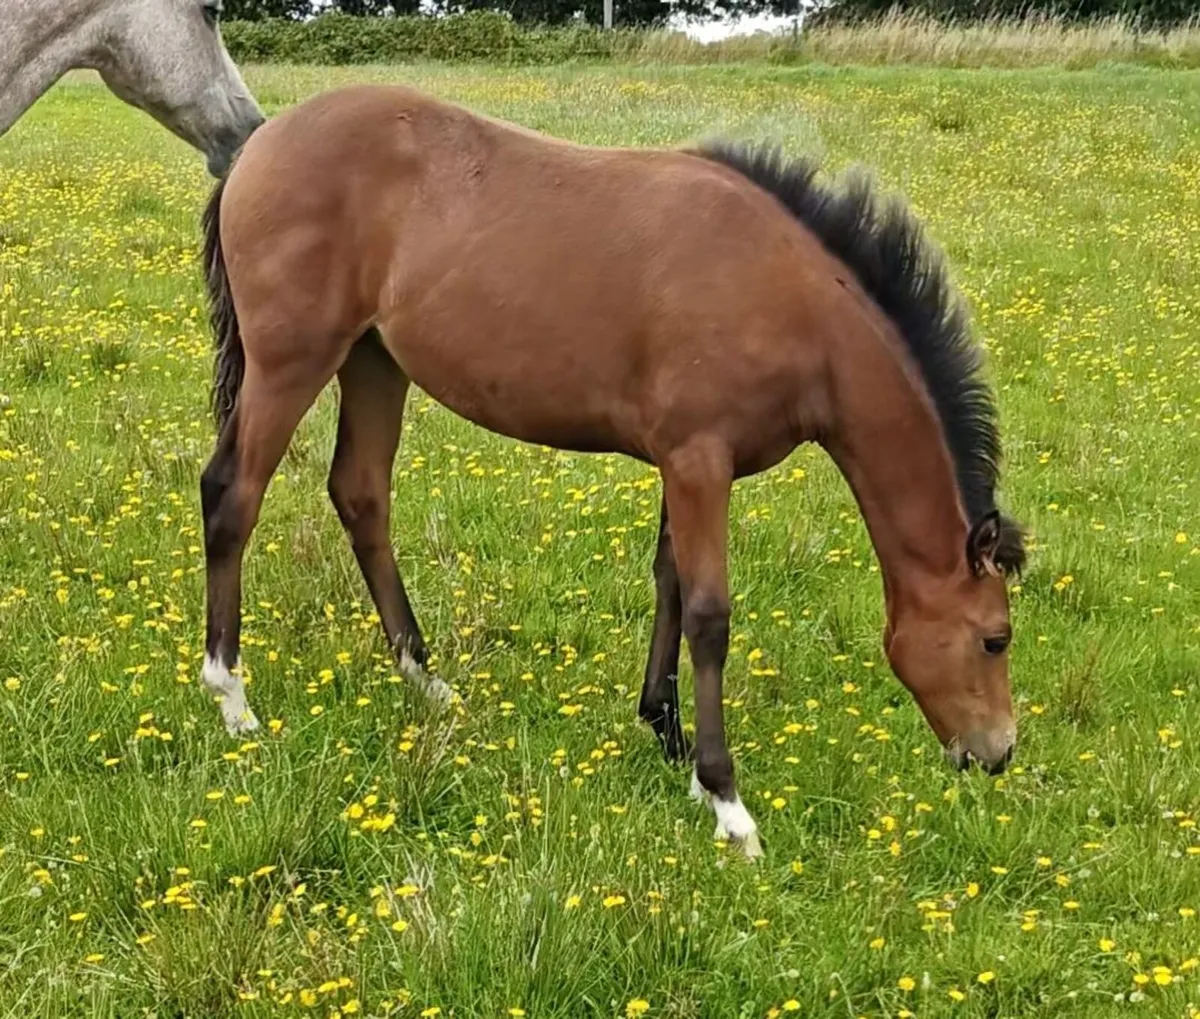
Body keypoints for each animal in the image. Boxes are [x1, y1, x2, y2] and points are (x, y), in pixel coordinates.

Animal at [197, 84, 1026, 858]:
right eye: (995, 638)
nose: (997, 753)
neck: (788, 301)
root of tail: (258, 146)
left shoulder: (682, 461)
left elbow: (670, 583)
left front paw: (671, 740)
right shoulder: (700, 459)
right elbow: (710, 614)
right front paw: (728, 802)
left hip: (374, 359)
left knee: (361, 494)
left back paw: (424, 680)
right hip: (291, 361)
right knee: (232, 495)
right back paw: (232, 696)